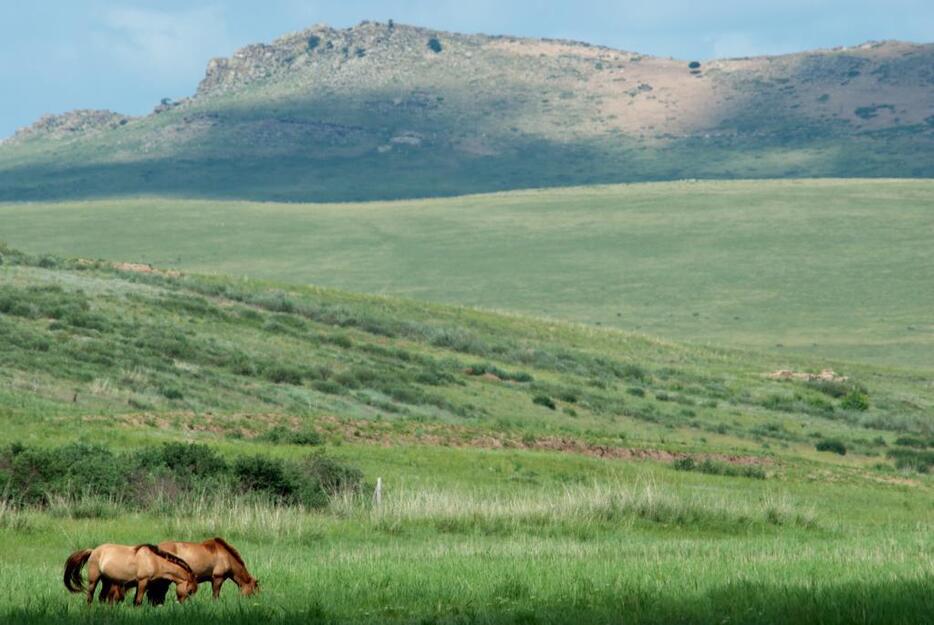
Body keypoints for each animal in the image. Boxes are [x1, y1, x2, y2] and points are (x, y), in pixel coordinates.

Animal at [65, 540, 200, 604]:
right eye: (190, 590)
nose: (182, 605)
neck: (154, 560)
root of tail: (93, 551)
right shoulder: (142, 582)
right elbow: (138, 601)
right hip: (94, 580)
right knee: (90, 597)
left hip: (106, 581)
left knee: (101, 597)